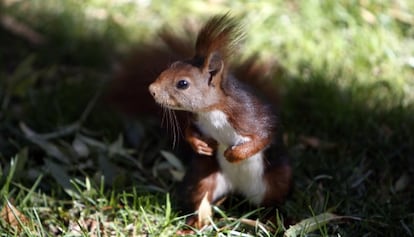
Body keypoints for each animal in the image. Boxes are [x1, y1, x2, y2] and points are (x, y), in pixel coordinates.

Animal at [148, 13, 292, 225]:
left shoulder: (251, 117)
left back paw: (272, 221)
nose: (152, 90)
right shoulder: (197, 119)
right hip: (206, 179)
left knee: (271, 203)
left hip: (276, 181)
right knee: (202, 200)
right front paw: (200, 146)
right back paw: (194, 223)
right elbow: (189, 131)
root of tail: (238, 189)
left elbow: (263, 137)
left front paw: (234, 154)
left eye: (182, 83)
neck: (212, 111)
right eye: (171, 66)